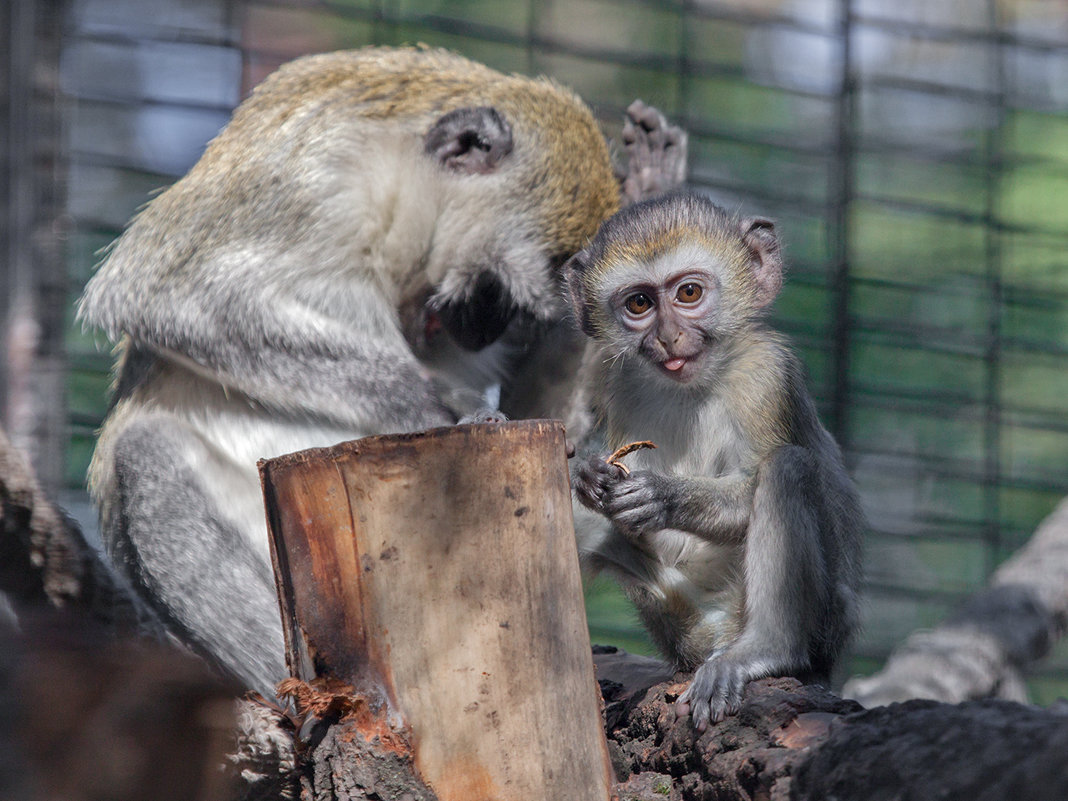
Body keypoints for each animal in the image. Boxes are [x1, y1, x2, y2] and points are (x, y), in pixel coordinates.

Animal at [81, 46, 683, 696]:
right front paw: (437, 410)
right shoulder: (312, 182)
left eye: (517, 316)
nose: (481, 333)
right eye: (495, 296)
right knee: (146, 452)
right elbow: (162, 292)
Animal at [568, 191, 858, 730]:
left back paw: (765, 649)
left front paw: (662, 496)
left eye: (688, 293)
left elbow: (754, 486)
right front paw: (586, 474)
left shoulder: (767, 372)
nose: (667, 337)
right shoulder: (622, 386)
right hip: (672, 611)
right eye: (639, 303)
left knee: (787, 471)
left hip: (820, 629)